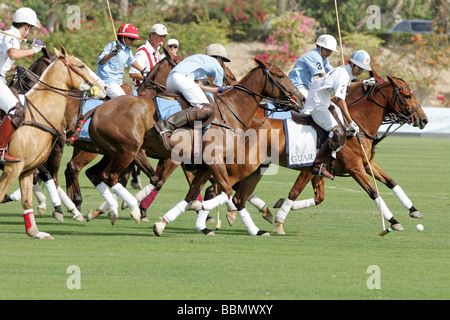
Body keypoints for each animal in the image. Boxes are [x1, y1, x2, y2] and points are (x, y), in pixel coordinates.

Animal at [0, 46, 106, 239]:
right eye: (81, 65)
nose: (104, 87)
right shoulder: (13, 167)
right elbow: (49, 176)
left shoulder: (27, 167)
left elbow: (29, 197)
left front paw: (36, 231)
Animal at [81, 58, 304, 229]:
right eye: (280, 76)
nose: (301, 99)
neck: (230, 112)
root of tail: (98, 109)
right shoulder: (212, 160)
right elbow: (224, 189)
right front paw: (215, 213)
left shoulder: (204, 165)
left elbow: (194, 191)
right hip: (128, 150)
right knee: (109, 176)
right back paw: (132, 210)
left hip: (112, 151)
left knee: (95, 174)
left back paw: (107, 210)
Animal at [186, 74, 428, 236]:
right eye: (407, 95)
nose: (424, 120)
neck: (357, 123)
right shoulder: (352, 167)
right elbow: (373, 192)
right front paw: (393, 220)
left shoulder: (363, 164)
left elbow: (390, 182)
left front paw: (413, 211)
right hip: (243, 165)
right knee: (217, 187)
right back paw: (211, 218)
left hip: (256, 167)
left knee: (228, 190)